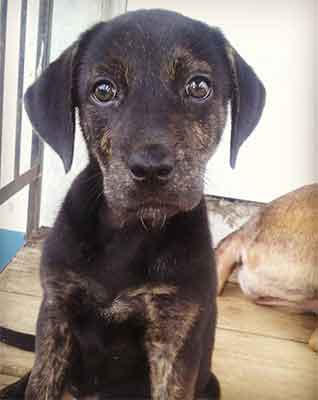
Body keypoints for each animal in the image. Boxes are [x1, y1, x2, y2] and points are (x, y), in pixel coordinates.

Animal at [0, 7, 264, 400]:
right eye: (103, 90)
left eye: (199, 87)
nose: (151, 168)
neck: (129, 231)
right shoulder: (56, 310)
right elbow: (40, 382)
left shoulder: (173, 335)